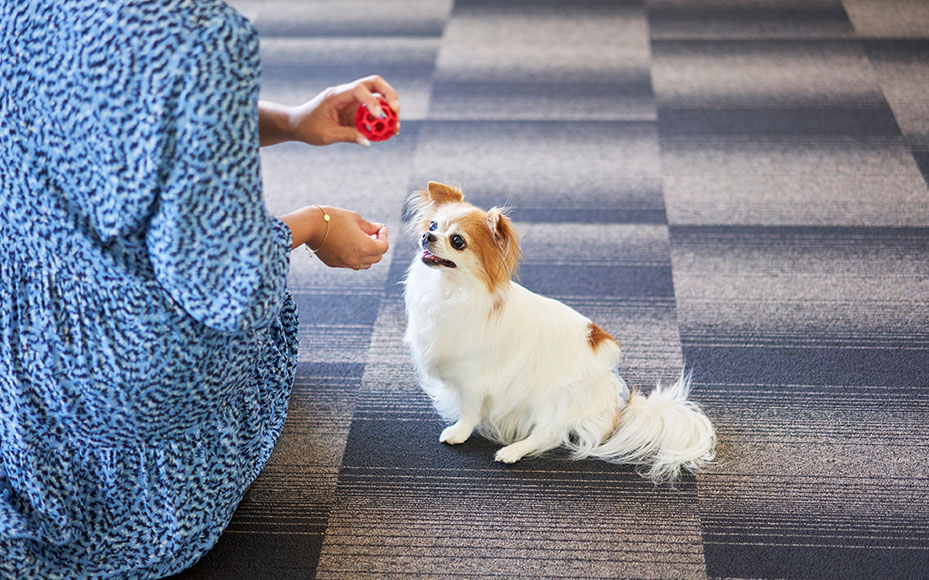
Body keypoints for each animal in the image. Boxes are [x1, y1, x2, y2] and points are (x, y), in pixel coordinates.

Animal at [402, 184, 716, 482]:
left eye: (458, 241)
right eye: (433, 225)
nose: (427, 237)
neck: (448, 290)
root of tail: (619, 398)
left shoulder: (474, 379)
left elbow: (469, 411)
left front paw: (458, 433)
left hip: (555, 398)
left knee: (548, 435)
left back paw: (511, 451)